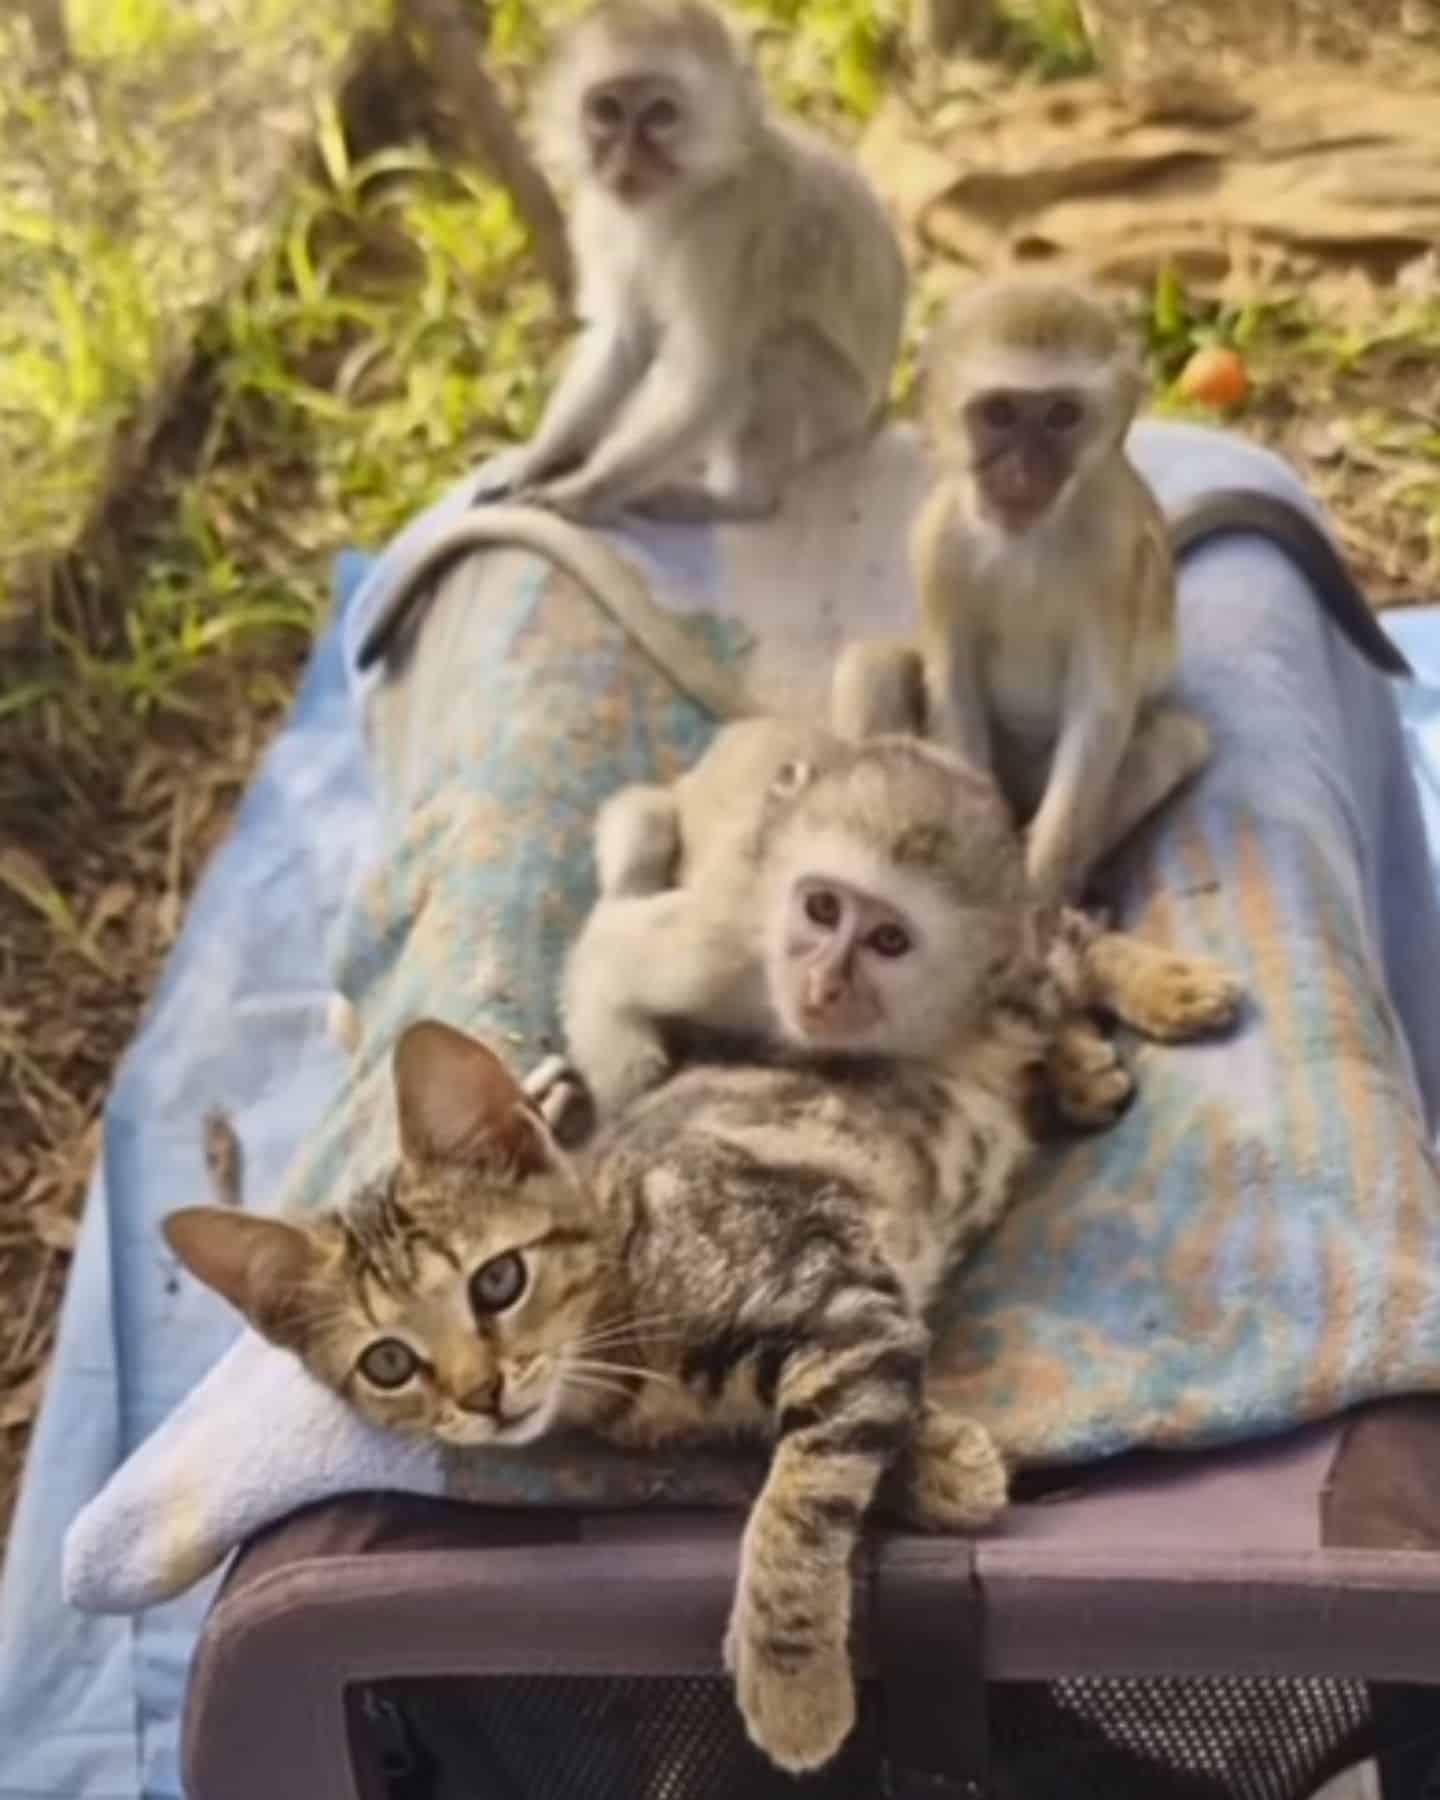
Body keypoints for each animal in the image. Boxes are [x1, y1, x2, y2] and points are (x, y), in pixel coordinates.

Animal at [165, 738, 1245, 1778]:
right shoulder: (833, 1344)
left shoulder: (840, 1290)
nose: (481, 1393)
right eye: (389, 1362)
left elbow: (796, 1495)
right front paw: (942, 1463)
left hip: (999, 976)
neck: (619, 1331)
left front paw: (791, 1685)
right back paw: (1080, 1064)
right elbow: (814, 1438)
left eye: (497, 1280)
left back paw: (1166, 990)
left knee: (1061, 941)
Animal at [468, 0, 907, 525]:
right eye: (606, 111)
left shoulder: (728, 232)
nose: (625, 159)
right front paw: (539, 457)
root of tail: (873, 417)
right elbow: (624, 340)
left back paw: (740, 499)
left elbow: (712, 377)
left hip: (834, 418)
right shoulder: (598, 215)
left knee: (778, 349)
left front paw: (583, 491)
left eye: (661, 115)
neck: (679, 197)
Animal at [838, 275, 1411, 907]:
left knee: (1173, 740)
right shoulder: (936, 545)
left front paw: (1041, 889)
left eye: (1062, 415)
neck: (1026, 537)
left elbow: (1100, 706)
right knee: (872, 665)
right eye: (999, 413)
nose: (1022, 472)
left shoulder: (1116, 550)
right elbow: (954, 690)